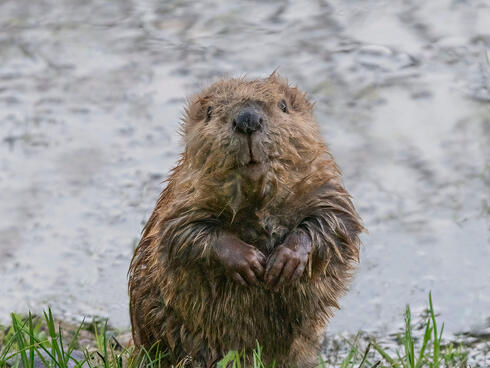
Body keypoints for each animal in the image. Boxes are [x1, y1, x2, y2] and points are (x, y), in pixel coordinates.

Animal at [127, 73, 364, 366]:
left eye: (283, 106)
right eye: (210, 112)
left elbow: (336, 221)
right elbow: (182, 235)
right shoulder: (183, 195)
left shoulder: (323, 183)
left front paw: (283, 263)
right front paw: (250, 263)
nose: (247, 120)